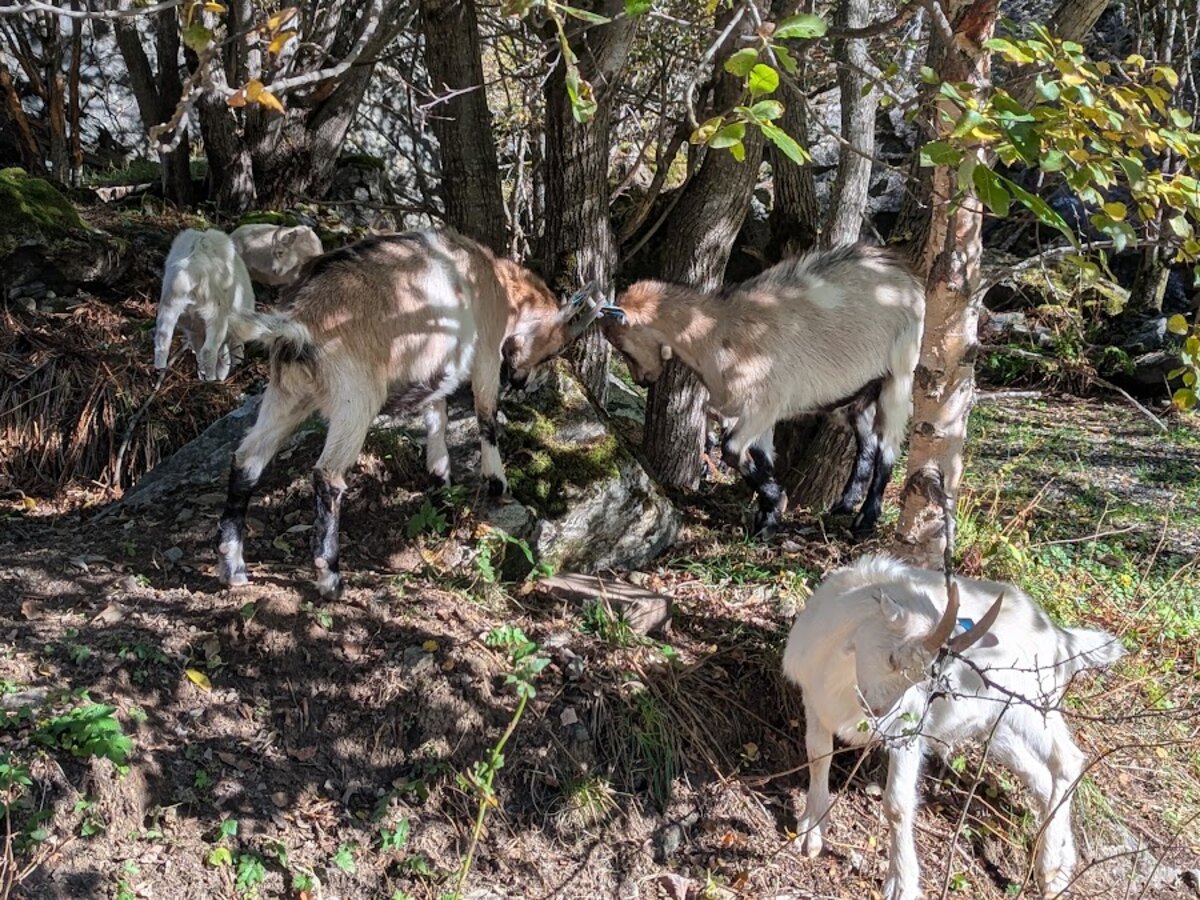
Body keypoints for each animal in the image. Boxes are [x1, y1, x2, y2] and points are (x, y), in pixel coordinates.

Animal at [155, 228, 255, 381]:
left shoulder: (193, 330)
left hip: (170, 307)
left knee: (162, 340)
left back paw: (160, 368)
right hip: (214, 313)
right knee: (209, 351)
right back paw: (211, 378)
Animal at [215, 228, 606, 599]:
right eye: (555, 350)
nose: (523, 381)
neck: (496, 283)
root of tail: (297, 323)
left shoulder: (437, 364)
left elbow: (437, 415)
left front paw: (440, 480)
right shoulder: (486, 354)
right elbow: (486, 413)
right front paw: (497, 483)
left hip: (288, 394)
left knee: (248, 458)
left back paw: (233, 568)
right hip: (355, 398)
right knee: (328, 475)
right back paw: (331, 579)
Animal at [600, 245, 925, 537]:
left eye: (622, 344)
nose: (642, 379)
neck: (719, 332)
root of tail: (910, 280)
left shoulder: (764, 404)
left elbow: (732, 449)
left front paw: (775, 503)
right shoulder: (751, 412)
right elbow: (762, 456)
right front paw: (767, 519)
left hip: (899, 374)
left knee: (888, 449)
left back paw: (864, 523)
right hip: (860, 394)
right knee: (868, 443)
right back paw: (844, 505)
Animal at [782, 554, 1124, 900]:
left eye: (924, 677)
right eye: (892, 659)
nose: (878, 713)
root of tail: (1057, 635)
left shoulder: (906, 732)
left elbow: (897, 804)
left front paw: (901, 883)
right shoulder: (815, 702)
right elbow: (818, 758)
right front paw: (810, 832)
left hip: (1033, 705)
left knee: (1066, 760)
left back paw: (1051, 870)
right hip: (997, 726)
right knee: (1041, 778)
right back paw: (1063, 863)